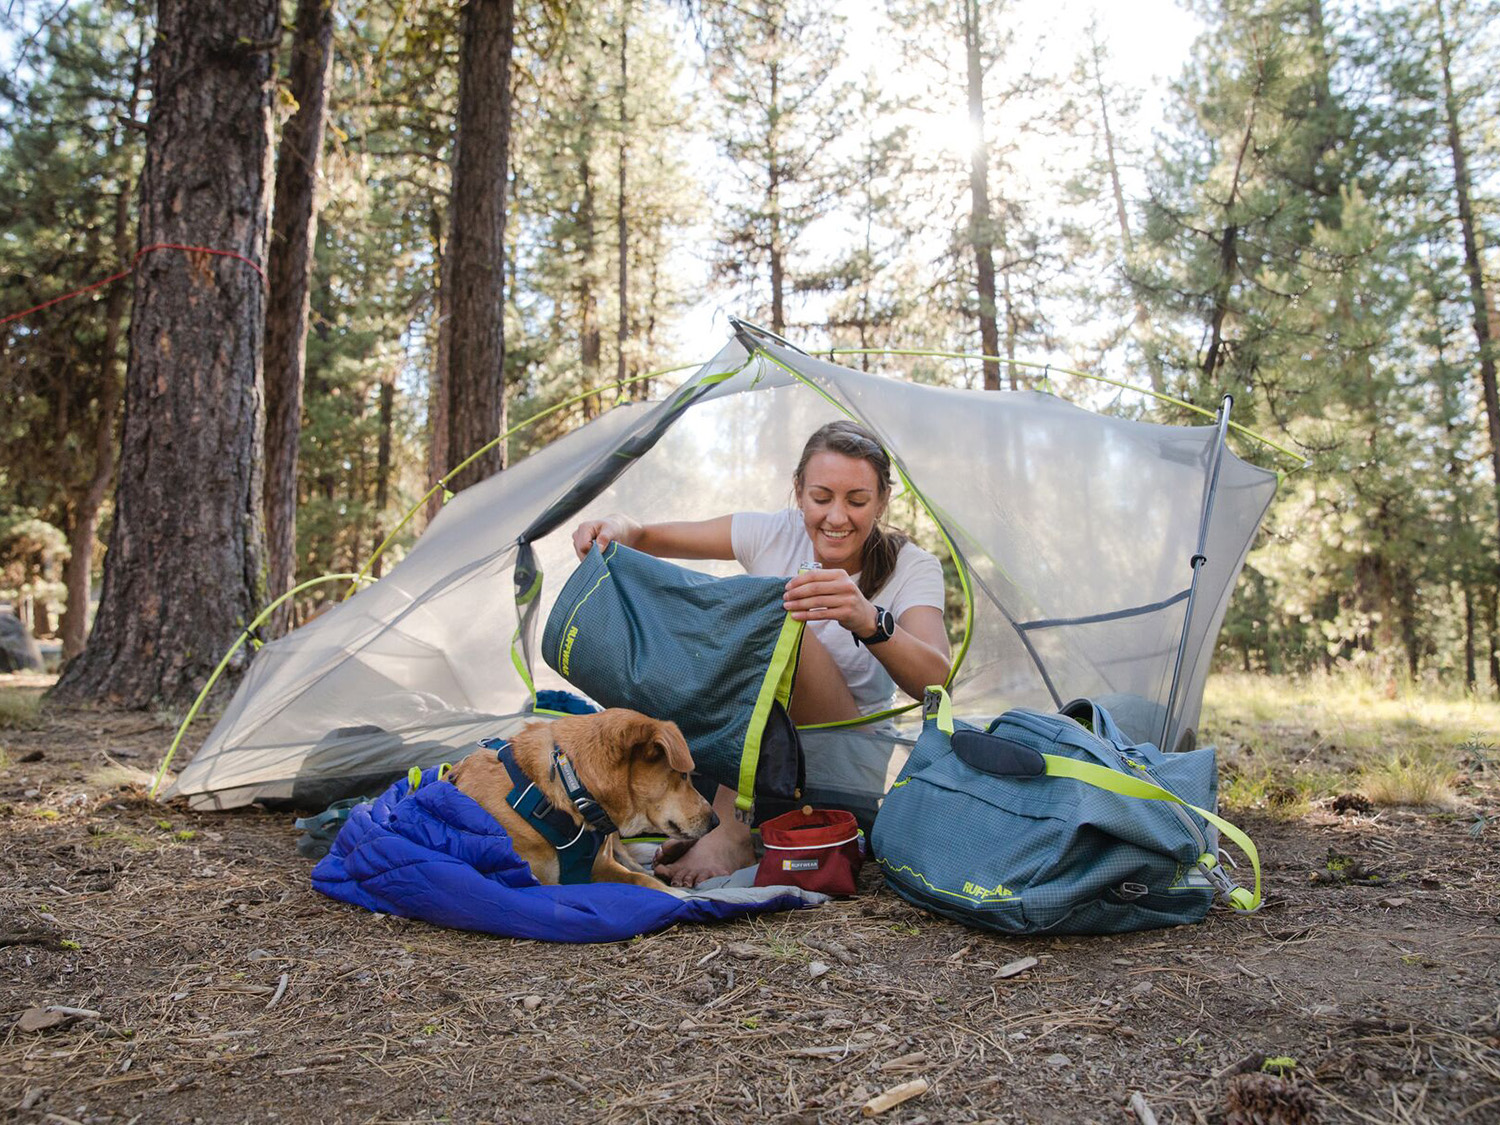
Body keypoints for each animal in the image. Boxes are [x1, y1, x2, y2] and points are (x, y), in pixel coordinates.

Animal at [444, 714, 714, 900]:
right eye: (683, 776)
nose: (716, 821)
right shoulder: (534, 882)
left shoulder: (602, 865)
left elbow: (638, 879)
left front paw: (676, 893)